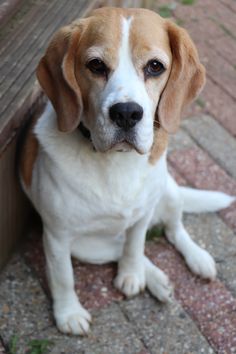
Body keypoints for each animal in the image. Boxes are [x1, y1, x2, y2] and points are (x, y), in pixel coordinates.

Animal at [19, 7, 234, 334]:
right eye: (95, 65)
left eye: (155, 67)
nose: (127, 113)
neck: (117, 163)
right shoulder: (57, 237)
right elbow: (63, 277)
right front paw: (69, 313)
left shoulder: (142, 215)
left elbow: (135, 246)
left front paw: (131, 275)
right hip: (88, 247)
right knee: (125, 249)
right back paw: (156, 280)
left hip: (169, 193)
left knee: (173, 231)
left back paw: (196, 259)